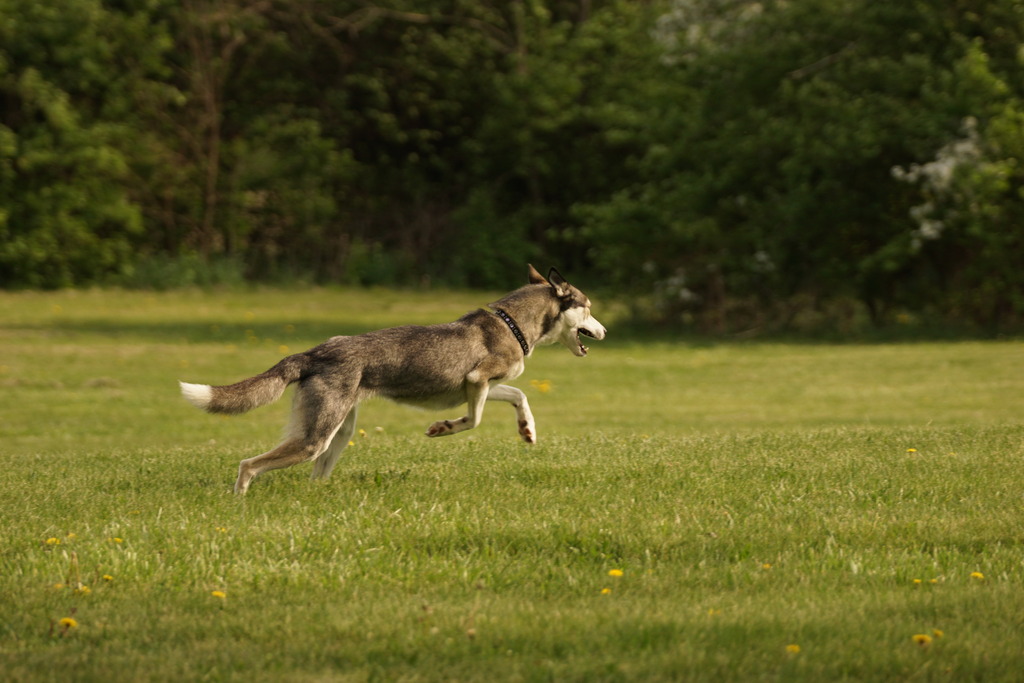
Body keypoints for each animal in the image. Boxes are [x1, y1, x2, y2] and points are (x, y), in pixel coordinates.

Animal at [180, 264, 602, 493]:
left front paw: (527, 430)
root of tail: (315, 352)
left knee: (314, 473)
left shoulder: (483, 385)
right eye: (588, 308)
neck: (513, 324)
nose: (605, 331)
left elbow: (518, 396)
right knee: (248, 465)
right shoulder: (477, 380)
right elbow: (473, 420)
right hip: (315, 439)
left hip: (338, 434)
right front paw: (442, 428)